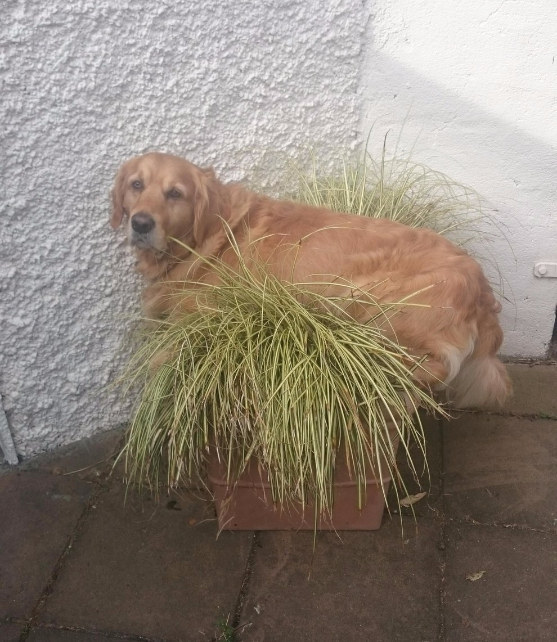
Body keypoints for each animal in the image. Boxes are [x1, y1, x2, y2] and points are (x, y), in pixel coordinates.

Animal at [111, 151, 510, 404]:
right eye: (136, 185)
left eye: (175, 193)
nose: (141, 224)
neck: (208, 233)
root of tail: (481, 290)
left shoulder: (195, 321)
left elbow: (161, 359)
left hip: (365, 298)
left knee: (432, 368)